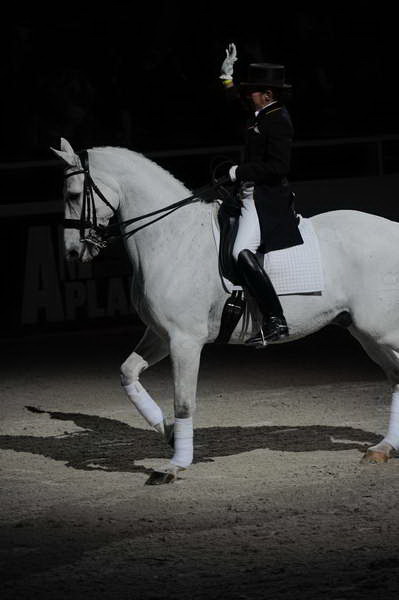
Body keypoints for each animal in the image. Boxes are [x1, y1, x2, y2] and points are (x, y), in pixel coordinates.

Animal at [51, 138, 399, 486]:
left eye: (73, 194)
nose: (72, 253)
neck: (173, 237)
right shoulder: (161, 335)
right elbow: (128, 372)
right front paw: (170, 435)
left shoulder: (185, 340)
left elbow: (183, 402)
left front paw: (174, 465)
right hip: (365, 333)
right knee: (395, 377)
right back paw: (382, 448)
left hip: (380, 330)